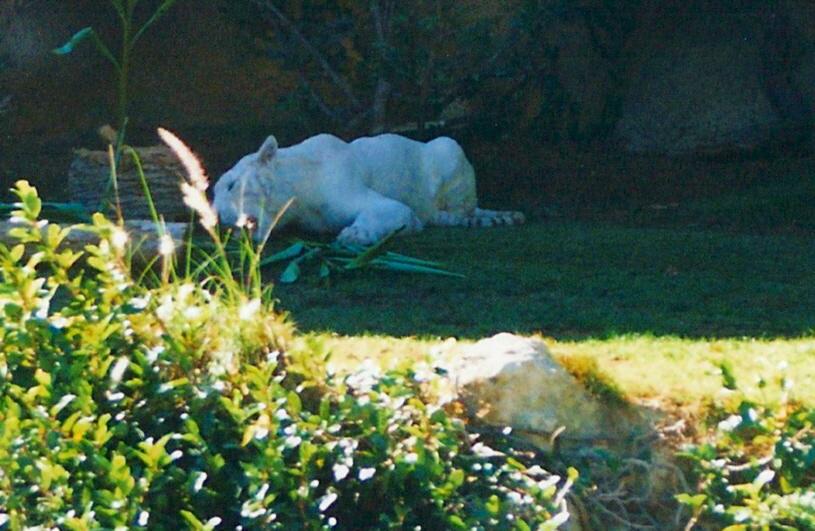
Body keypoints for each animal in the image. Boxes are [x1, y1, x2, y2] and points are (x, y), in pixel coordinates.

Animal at [214, 133, 524, 245]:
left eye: (230, 185)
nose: (216, 218)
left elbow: (392, 211)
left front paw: (355, 234)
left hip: (447, 147)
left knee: (459, 209)